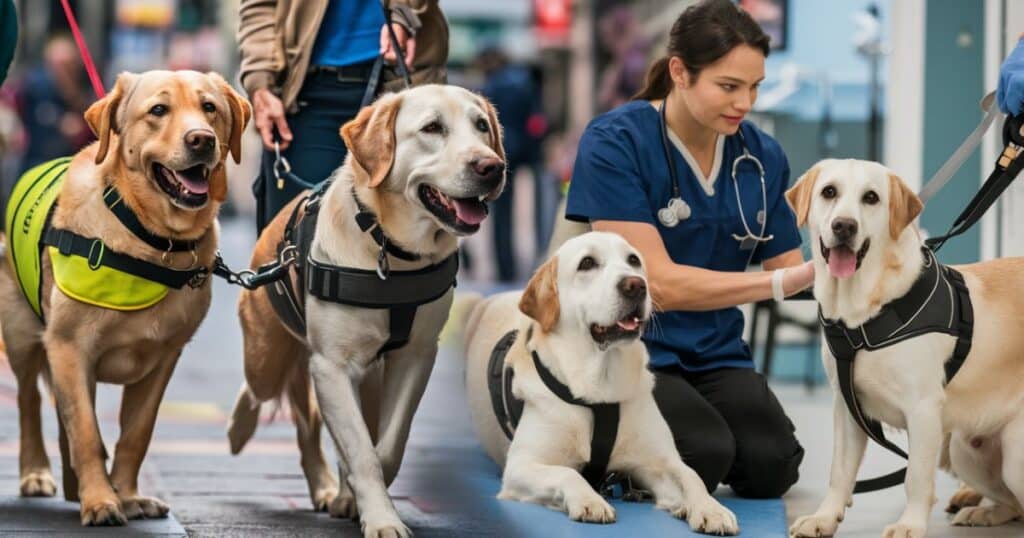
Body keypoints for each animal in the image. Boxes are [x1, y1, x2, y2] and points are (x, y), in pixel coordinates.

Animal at [462, 230, 737, 532]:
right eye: (587, 263)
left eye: (633, 260)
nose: (635, 285)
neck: (602, 386)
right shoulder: (522, 465)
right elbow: (568, 474)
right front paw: (590, 500)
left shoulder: (660, 460)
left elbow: (692, 476)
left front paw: (711, 509)